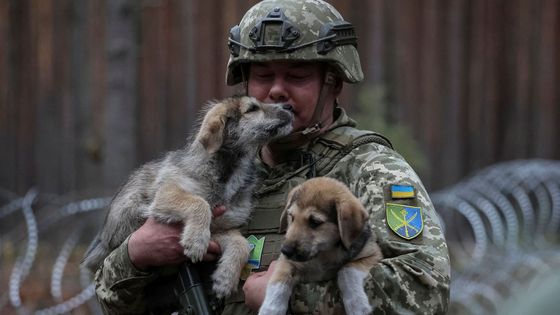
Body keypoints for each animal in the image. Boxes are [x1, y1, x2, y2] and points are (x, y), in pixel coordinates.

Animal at [84, 96, 294, 298]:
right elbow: (199, 203)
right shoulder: (166, 193)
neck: (229, 173)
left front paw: (225, 279)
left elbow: (242, 244)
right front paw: (196, 240)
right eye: (252, 108)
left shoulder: (220, 227)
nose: (289, 106)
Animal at [258, 178, 380, 315]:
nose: (285, 250)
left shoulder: (372, 254)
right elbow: (278, 282)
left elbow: (346, 271)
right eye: (292, 217)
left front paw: (357, 304)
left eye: (315, 222)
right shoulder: (286, 262)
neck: (323, 255)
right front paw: (269, 310)